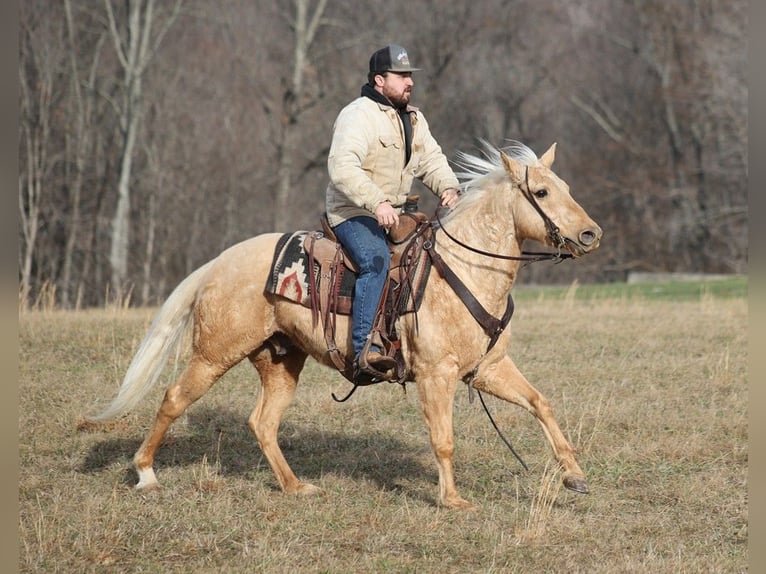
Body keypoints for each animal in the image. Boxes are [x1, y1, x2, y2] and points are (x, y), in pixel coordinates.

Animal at [90, 142, 604, 510]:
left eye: (565, 186)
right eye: (541, 193)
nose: (590, 233)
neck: (462, 268)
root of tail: (219, 263)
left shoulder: (489, 368)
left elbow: (540, 404)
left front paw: (574, 475)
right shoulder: (435, 375)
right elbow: (444, 440)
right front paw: (453, 500)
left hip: (281, 360)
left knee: (263, 422)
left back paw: (296, 487)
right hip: (215, 354)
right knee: (175, 399)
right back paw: (146, 474)